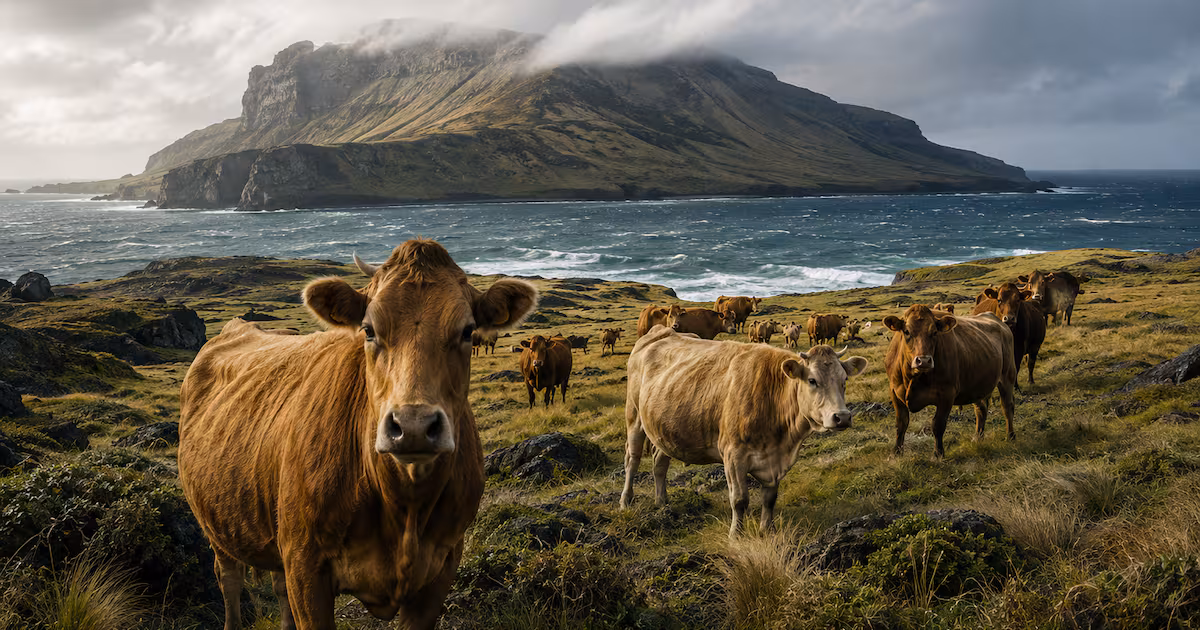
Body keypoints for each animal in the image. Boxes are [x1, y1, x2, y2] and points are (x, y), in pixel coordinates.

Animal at [178, 239, 537, 630]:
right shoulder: (305, 565)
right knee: (229, 580)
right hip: (216, 524)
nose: (413, 426)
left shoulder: (441, 568)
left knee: (277, 586)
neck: (405, 507)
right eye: (368, 330)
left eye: (468, 331)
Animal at [622, 326, 868, 536]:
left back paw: (661, 502)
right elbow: (740, 499)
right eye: (812, 380)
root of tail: (660, 331)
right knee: (632, 460)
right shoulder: (733, 454)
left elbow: (769, 498)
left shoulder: (774, 461)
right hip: (634, 416)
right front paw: (736, 534)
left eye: (845, 379)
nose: (842, 416)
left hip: (663, 427)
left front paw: (767, 530)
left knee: (659, 463)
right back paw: (625, 501)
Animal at [883, 305, 1017, 459]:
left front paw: (938, 454)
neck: (913, 378)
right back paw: (978, 437)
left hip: (1007, 376)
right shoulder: (894, 391)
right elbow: (901, 424)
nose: (923, 360)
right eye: (906, 331)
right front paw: (896, 452)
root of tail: (999, 322)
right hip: (978, 384)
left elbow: (938, 425)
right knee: (981, 410)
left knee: (1007, 407)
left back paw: (1010, 436)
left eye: (934, 332)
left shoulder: (947, 394)